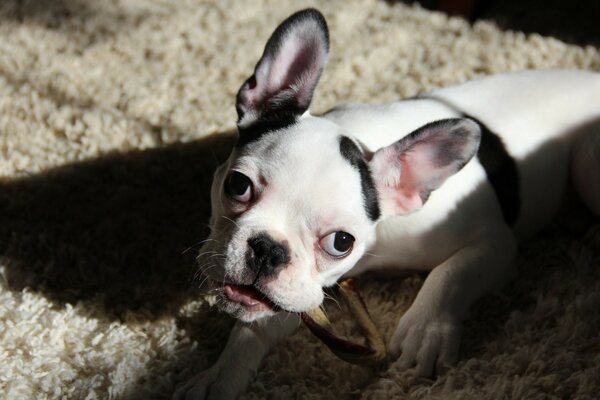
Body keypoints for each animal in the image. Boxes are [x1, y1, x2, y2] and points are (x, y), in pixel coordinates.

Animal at [173, 7, 600, 398]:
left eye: (341, 242)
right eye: (237, 184)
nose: (267, 251)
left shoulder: (494, 241)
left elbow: (452, 272)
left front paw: (426, 329)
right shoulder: (294, 292)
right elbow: (255, 324)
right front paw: (221, 374)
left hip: (586, 161)